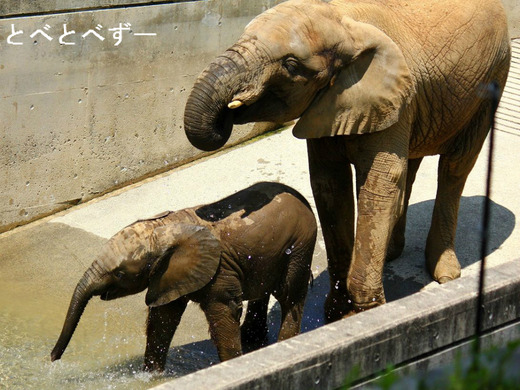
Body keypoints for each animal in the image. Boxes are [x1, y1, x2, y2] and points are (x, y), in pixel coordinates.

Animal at [50, 182, 316, 372]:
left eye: (120, 273)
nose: (52, 358)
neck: (166, 227)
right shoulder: (168, 273)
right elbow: (163, 318)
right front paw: (151, 376)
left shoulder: (219, 271)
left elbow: (223, 313)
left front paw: (232, 365)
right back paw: (253, 341)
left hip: (299, 245)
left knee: (290, 295)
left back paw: (283, 345)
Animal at [184, 0, 512, 322]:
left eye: (291, 66)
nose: (227, 114)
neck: (344, 22)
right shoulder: (330, 104)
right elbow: (330, 187)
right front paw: (337, 313)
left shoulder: (390, 97)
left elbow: (379, 186)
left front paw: (367, 314)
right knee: (413, 164)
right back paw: (392, 253)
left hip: (493, 77)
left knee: (456, 167)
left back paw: (445, 273)